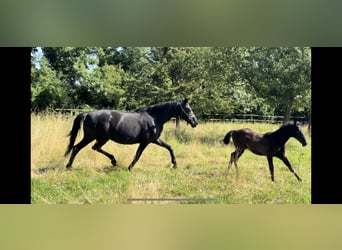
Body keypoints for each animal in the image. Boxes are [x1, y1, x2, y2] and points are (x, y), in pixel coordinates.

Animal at [65, 98, 198, 171]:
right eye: (188, 109)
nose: (195, 122)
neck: (154, 118)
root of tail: (87, 114)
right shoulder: (145, 142)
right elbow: (138, 155)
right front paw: (129, 168)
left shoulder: (155, 140)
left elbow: (170, 148)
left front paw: (175, 164)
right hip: (99, 138)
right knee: (90, 148)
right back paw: (113, 161)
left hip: (91, 137)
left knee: (78, 148)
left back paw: (69, 166)